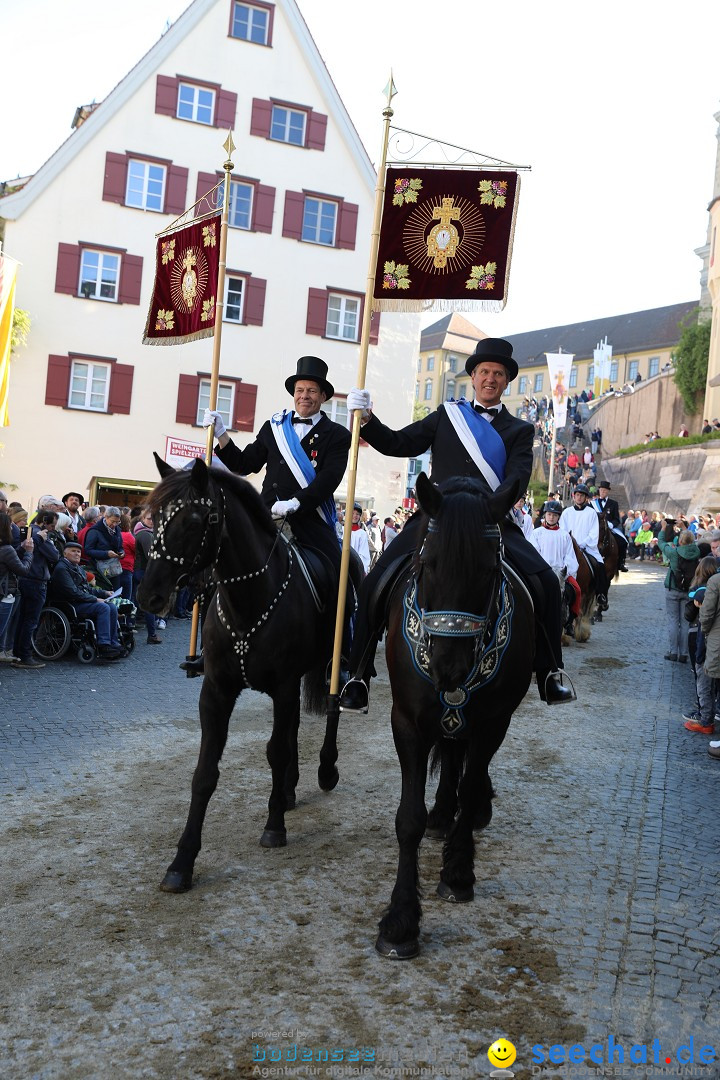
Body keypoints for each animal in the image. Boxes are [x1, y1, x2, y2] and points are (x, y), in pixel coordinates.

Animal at [140, 455, 345, 894]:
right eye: (155, 517)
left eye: (195, 519)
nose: (149, 596)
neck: (248, 599)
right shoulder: (217, 690)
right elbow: (205, 773)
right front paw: (181, 863)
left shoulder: (284, 686)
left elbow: (275, 750)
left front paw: (274, 826)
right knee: (293, 729)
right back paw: (289, 789)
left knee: (333, 708)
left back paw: (325, 769)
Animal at [377, 475, 535, 963]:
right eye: (427, 565)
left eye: (488, 572)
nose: (449, 669)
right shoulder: (407, 722)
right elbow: (408, 818)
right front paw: (400, 922)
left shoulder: (493, 723)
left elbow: (470, 781)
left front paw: (458, 874)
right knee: (449, 754)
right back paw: (441, 814)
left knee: (463, 767)